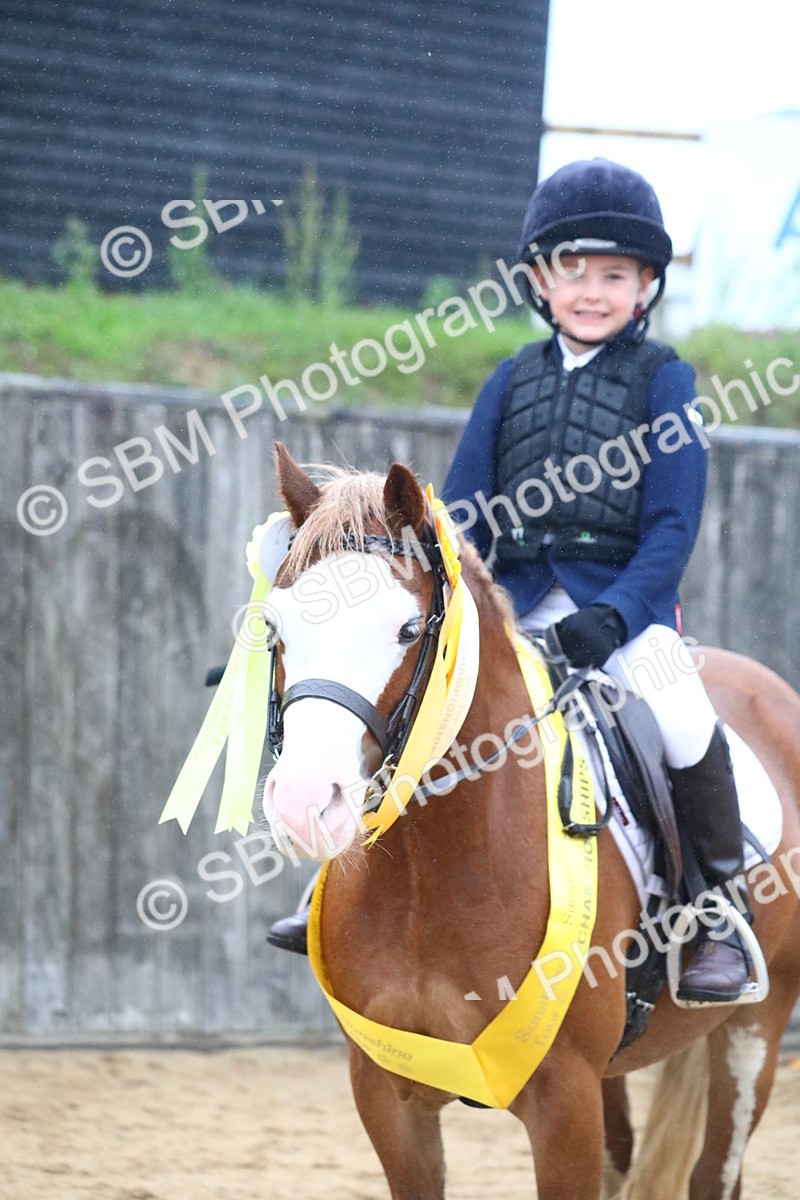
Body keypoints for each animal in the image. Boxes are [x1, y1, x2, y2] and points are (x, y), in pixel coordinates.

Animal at [261, 442, 800, 1200]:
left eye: (407, 630)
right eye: (275, 628)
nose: (304, 804)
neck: (431, 876)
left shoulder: (563, 1103)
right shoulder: (387, 1095)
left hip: (755, 1030)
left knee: (715, 1171)